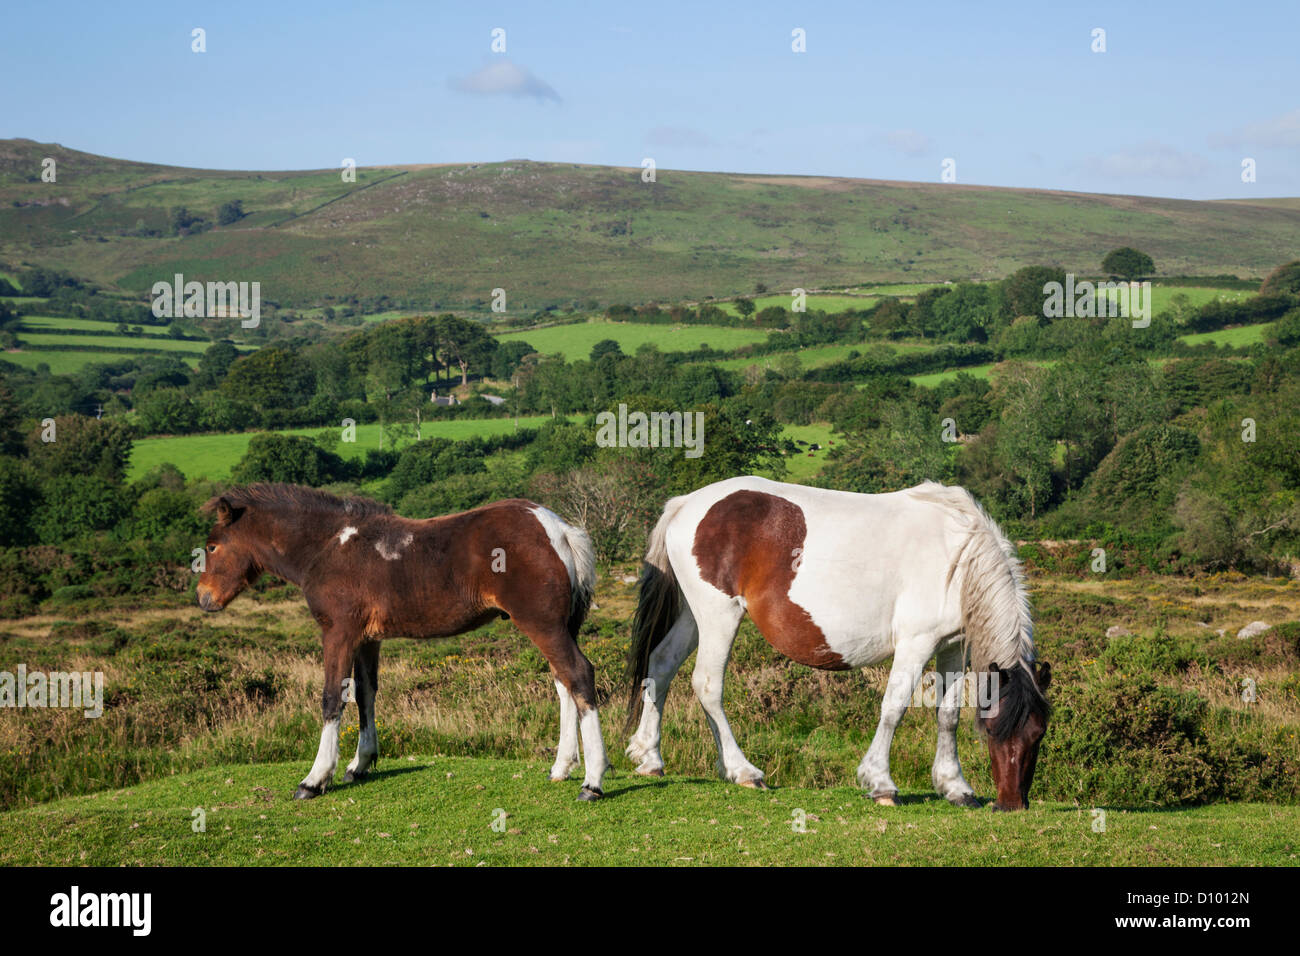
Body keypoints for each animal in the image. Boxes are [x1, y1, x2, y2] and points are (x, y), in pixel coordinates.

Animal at [196, 483, 608, 800]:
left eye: (212, 546)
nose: (203, 598)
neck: (328, 547)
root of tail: (559, 530)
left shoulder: (338, 631)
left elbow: (332, 697)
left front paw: (314, 779)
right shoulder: (366, 639)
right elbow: (364, 694)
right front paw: (359, 764)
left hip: (541, 623)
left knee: (578, 674)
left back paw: (592, 781)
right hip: (556, 625)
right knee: (564, 683)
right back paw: (561, 767)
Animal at [624, 475, 1051, 810]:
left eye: (1038, 735)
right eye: (994, 733)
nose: (1012, 804)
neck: (956, 555)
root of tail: (685, 504)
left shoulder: (952, 646)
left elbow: (948, 715)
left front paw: (955, 787)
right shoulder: (916, 643)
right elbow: (895, 706)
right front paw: (880, 783)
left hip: (693, 616)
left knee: (661, 665)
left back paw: (649, 757)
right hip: (719, 616)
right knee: (708, 685)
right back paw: (742, 770)